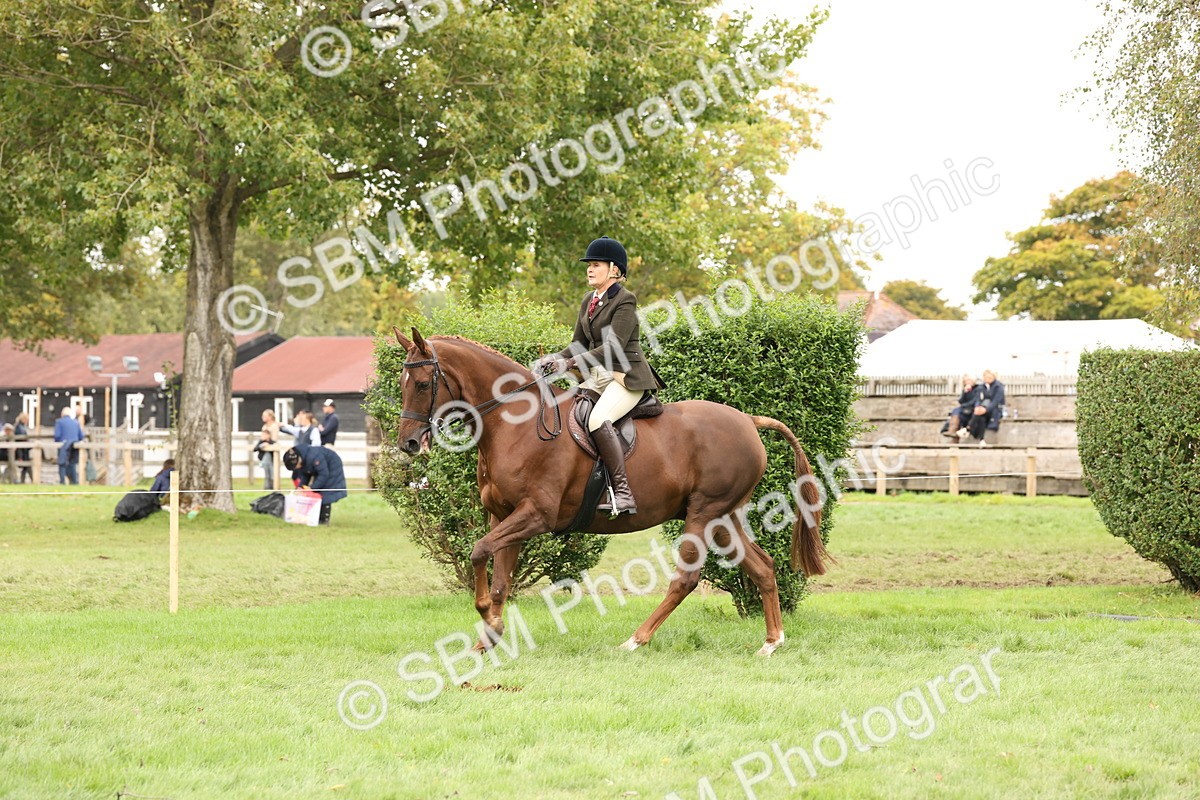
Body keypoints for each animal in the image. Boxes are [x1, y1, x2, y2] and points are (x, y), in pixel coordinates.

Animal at [391, 328, 830, 657]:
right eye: (401, 383)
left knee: (686, 579)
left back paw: (636, 639)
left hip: (705, 513)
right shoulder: (504, 515)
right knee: (762, 567)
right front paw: (490, 636)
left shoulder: (535, 515)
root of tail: (748, 421)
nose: (408, 444)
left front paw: (486, 618)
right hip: (724, 517)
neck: (516, 424)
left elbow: (479, 550)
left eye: (424, 383)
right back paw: (771, 642)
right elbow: (499, 576)